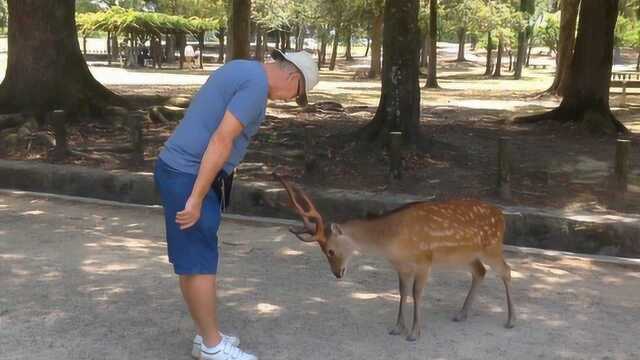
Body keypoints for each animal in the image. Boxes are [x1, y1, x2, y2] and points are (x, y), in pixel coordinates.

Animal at [276, 176, 516, 342]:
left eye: (330, 251)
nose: (337, 273)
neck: (393, 242)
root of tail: (502, 216)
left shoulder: (425, 260)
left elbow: (416, 293)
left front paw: (414, 333)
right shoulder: (401, 266)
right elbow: (402, 292)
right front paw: (397, 328)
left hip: (492, 247)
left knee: (506, 270)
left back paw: (511, 320)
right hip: (466, 255)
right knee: (480, 271)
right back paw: (461, 314)